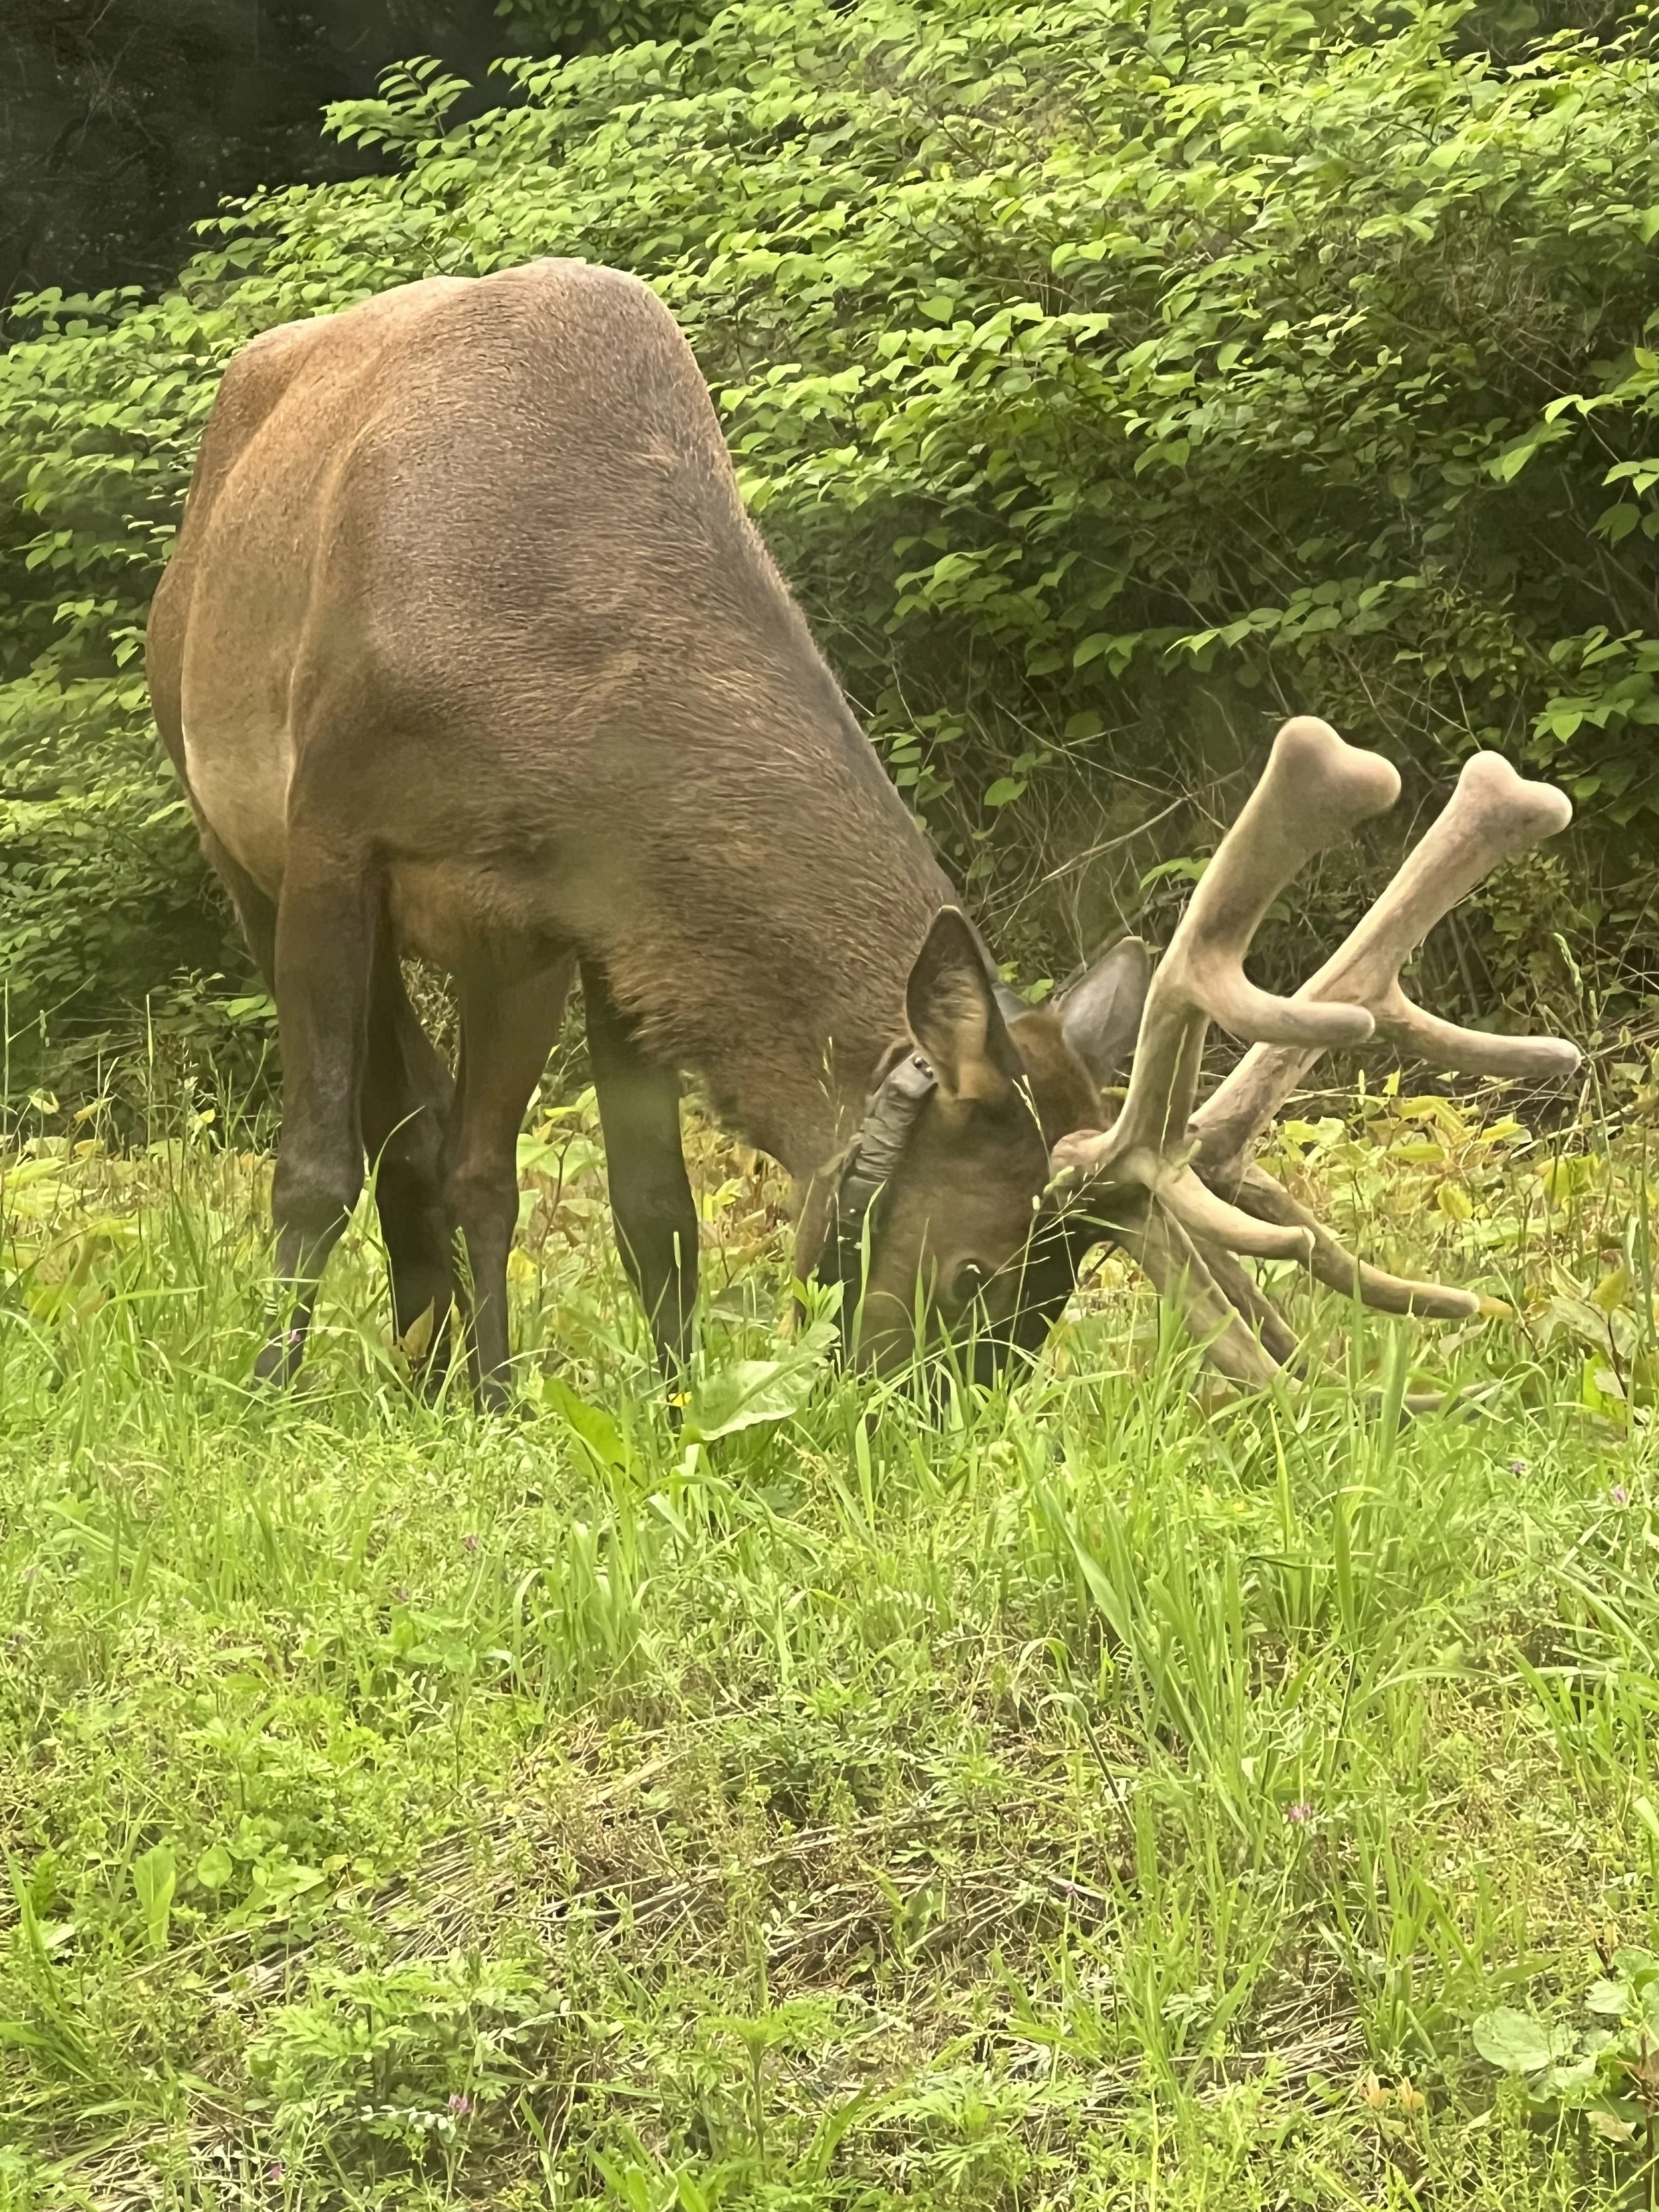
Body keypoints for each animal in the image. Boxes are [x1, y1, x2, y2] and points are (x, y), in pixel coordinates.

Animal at [144, 257, 1579, 1406]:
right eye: (976, 1267)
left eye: (1057, 1298)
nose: (916, 1422)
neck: (546, 679)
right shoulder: (333, 834)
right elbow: (314, 1159)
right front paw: (269, 1402)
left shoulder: (589, 912)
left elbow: (645, 1204)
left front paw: (647, 1406)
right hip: (240, 837)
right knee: (388, 1128)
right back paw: (395, 1365)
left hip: (498, 950)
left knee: (456, 1144)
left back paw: (450, 1374)